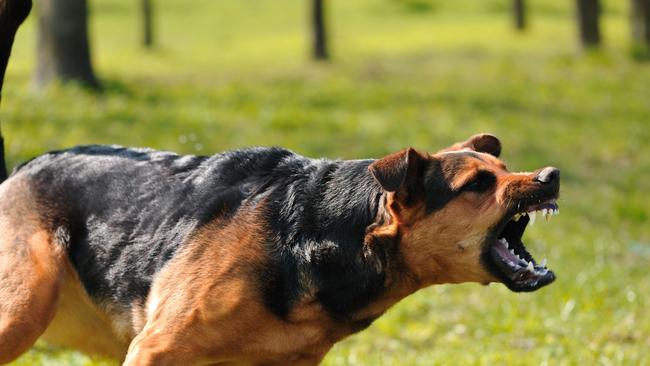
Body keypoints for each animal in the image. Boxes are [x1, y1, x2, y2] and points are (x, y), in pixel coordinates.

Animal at [0, 134, 556, 366]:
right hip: (24, 310)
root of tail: (20, 169)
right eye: (478, 184)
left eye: (503, 169)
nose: (551, 176)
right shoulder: (154, 350)